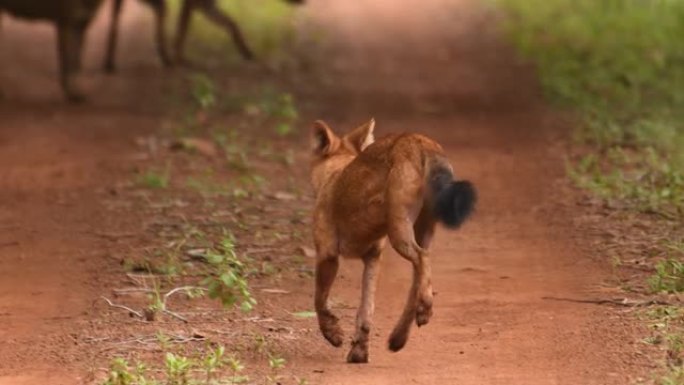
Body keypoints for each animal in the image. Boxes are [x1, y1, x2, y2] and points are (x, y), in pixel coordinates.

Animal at [310, 120, 476, 364]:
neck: (334, 174)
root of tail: (423, 141)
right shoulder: (373, 257)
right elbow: (366, 310)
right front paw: (359, 351)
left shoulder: (327, 254)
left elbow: (320, 300)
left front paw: (333, 334)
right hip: (422, 229)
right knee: (418, 276)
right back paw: (399, 336)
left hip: (399, 230)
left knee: (422, 258)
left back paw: (424, 310)